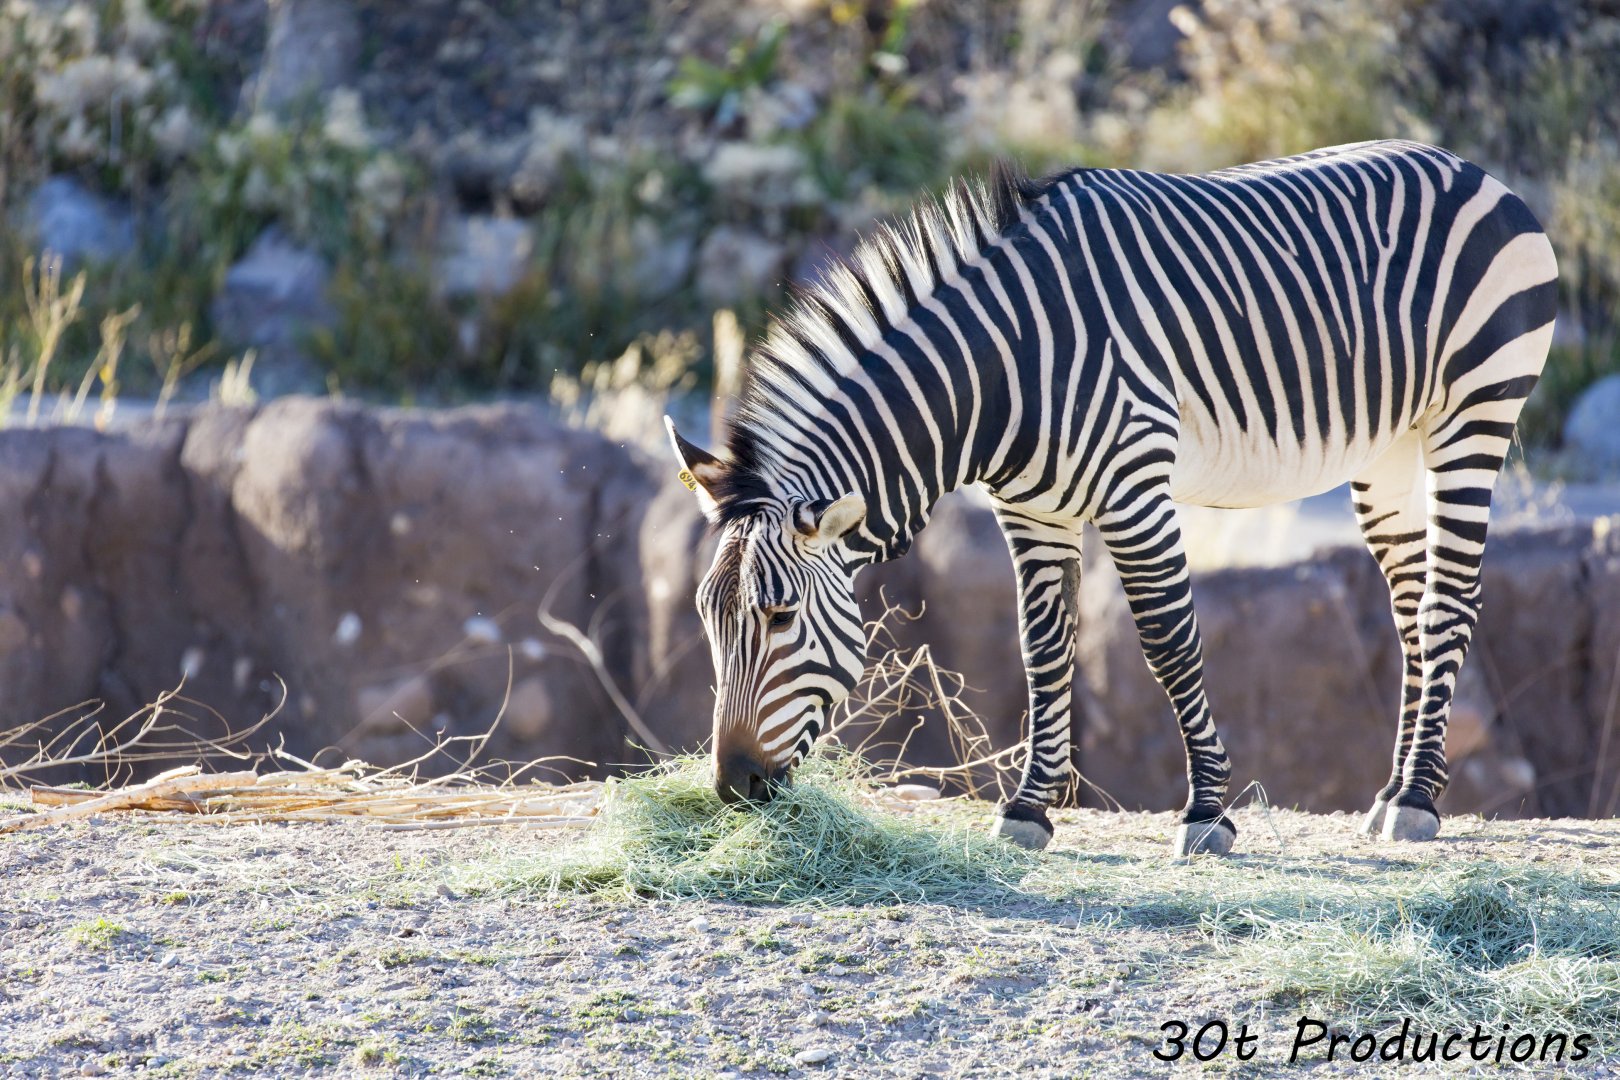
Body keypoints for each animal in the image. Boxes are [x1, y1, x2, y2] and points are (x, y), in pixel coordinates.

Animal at [665, 140, 1558, 856]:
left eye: (780, 617)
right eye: (708, 616)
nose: (733, 786)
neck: (1001, 372)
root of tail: (1473, 170)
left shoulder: (1134, 487)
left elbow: (1169, 643)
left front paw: (1207, 811)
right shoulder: (1029, 508)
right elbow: (1043, 647)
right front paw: (1031, 807)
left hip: (1473, 413)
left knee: (1448, 600)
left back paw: (1417, 802)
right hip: (1387, 451)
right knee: (1412, 610)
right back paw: (1395, 790)